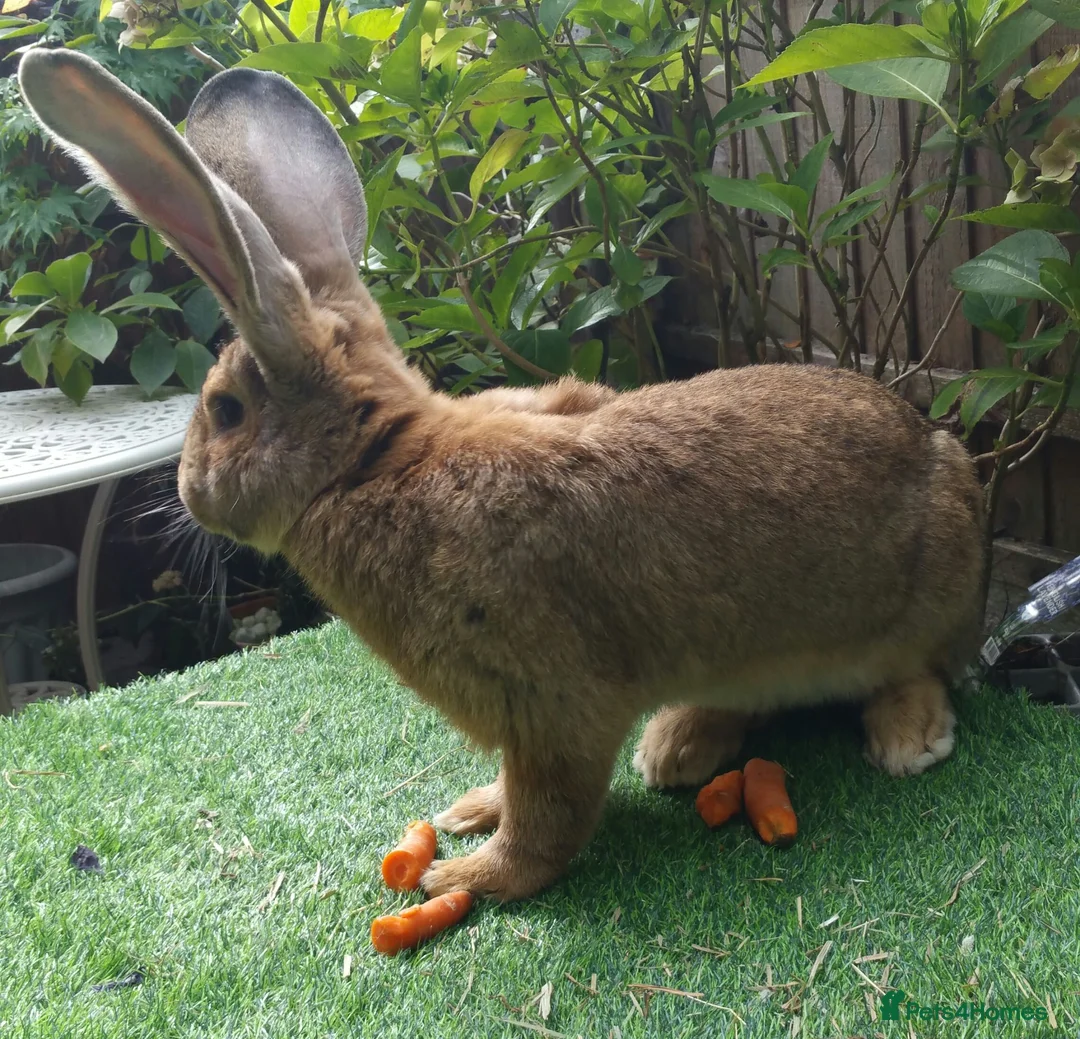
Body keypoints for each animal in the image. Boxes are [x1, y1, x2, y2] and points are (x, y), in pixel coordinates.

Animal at [20, 50, 986, 902]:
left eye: (224, 410)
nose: (188, 490)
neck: (375, 460)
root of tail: (943, 457)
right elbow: (523, 793)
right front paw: (467, 813)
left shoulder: (550, 703)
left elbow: (548, 816)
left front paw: (466, 877)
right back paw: (677, 745)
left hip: (921, 594)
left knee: (918, 665)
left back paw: (906, 737)